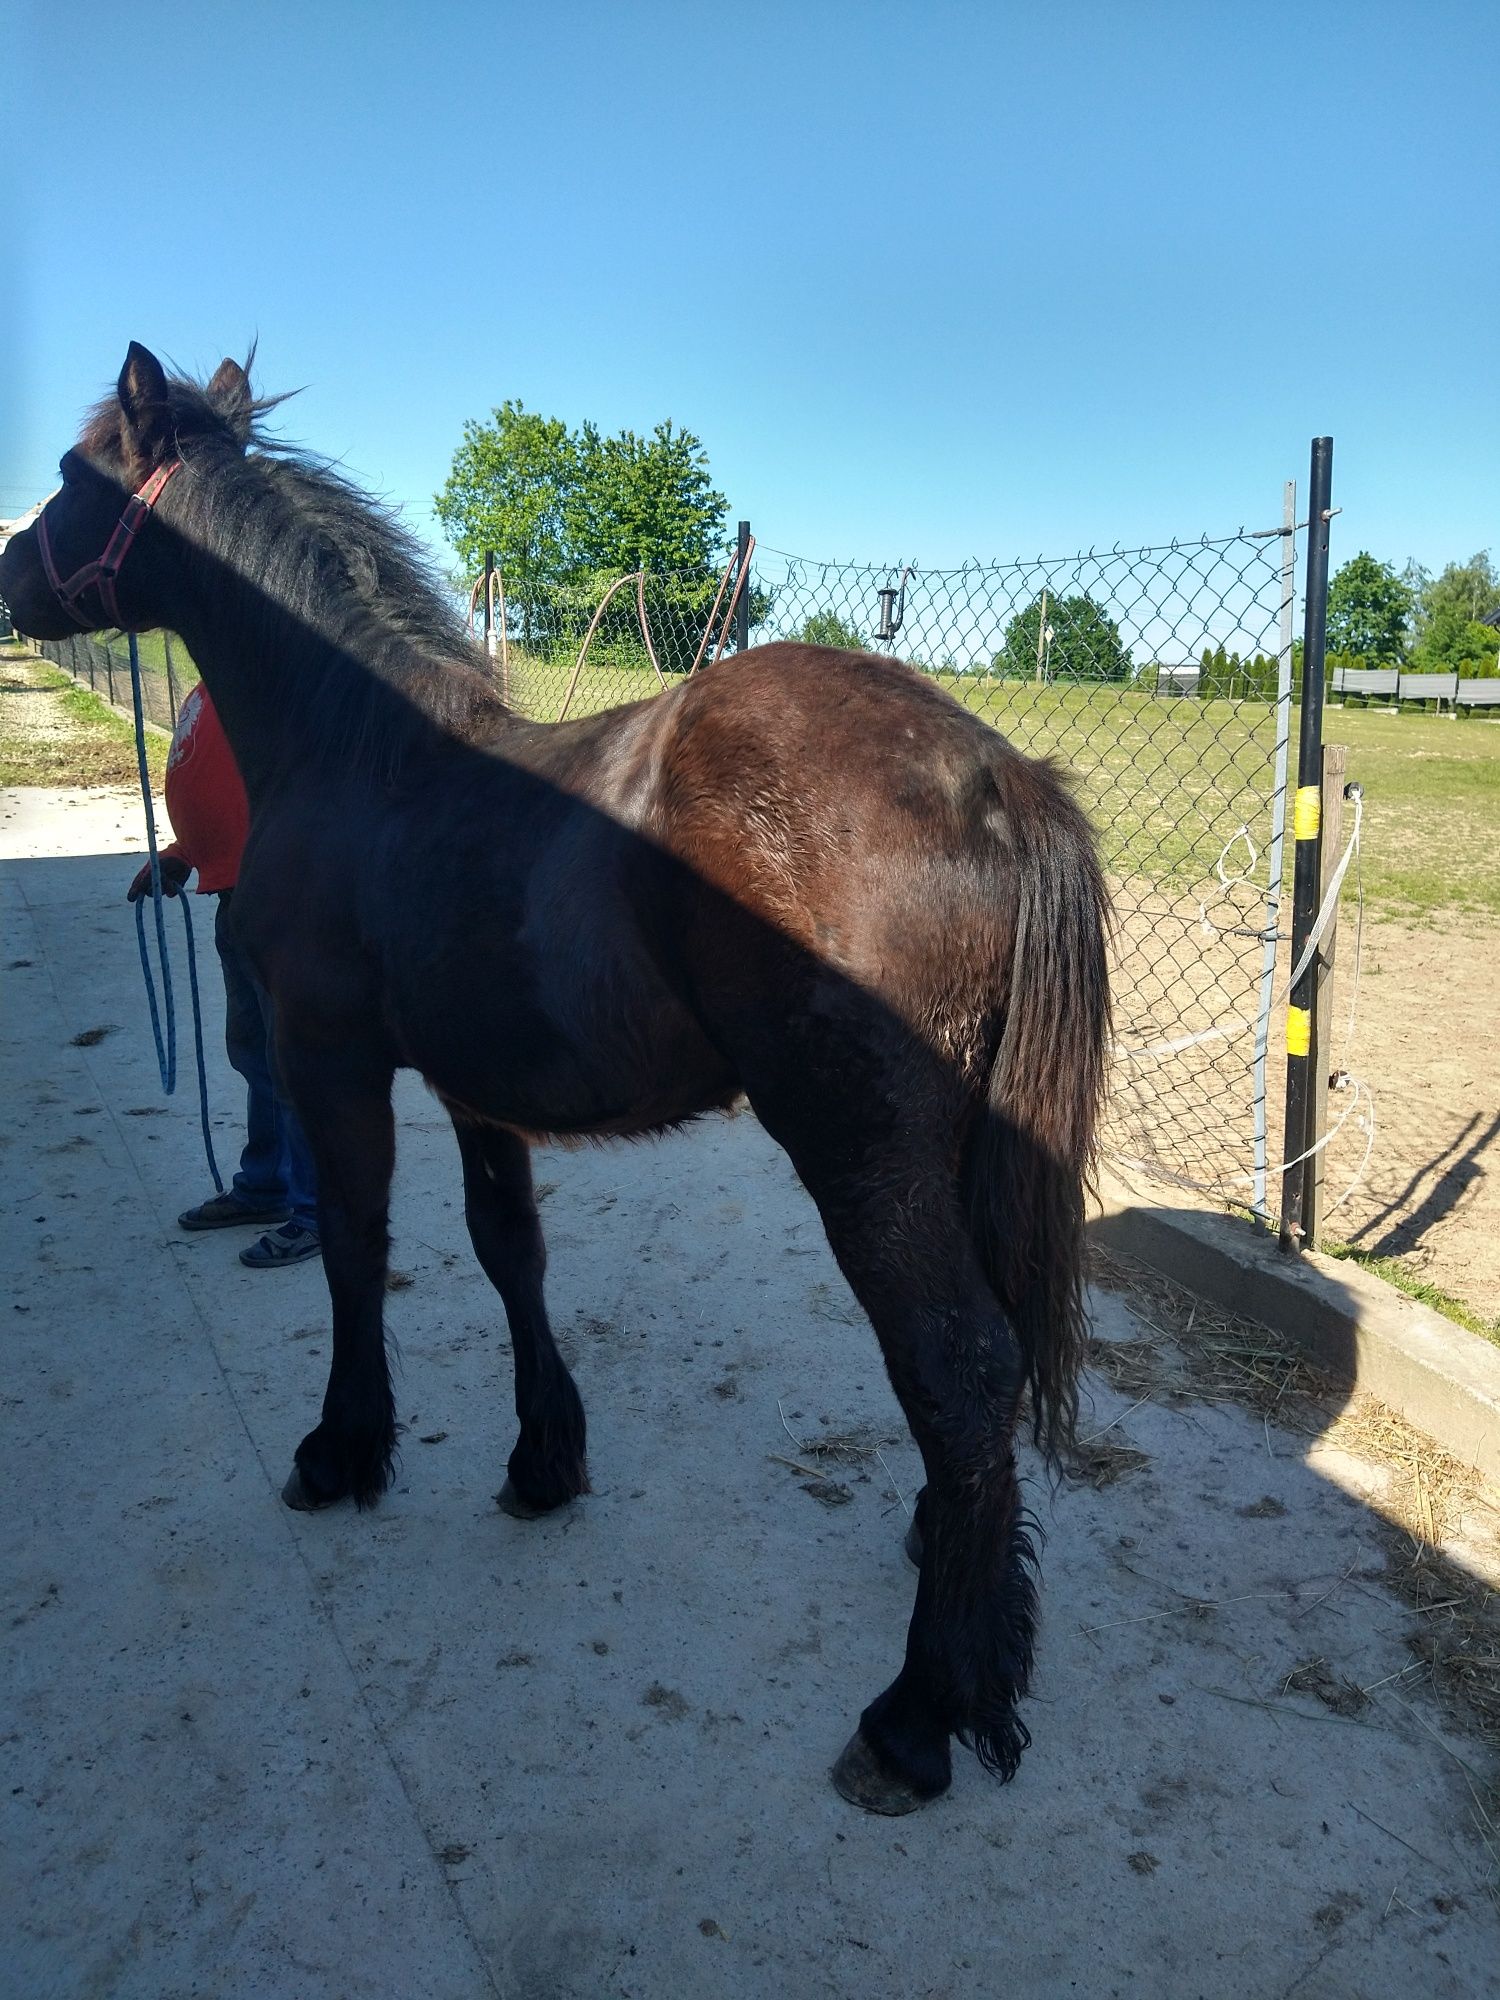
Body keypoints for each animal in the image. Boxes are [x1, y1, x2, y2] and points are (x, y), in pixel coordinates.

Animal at [2, 344, 1120, 1816]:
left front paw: (341, 1450)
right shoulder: (480, 1091)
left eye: (71, 478)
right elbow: (507, 1254)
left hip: (863, 1154)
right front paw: (543, 1461)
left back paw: (917, 1715)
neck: (365, 754)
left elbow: (354, 1246)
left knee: (960, 1369)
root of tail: (992, 772)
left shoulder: (333, 1064)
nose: (7, 576)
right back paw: (968, 1597)